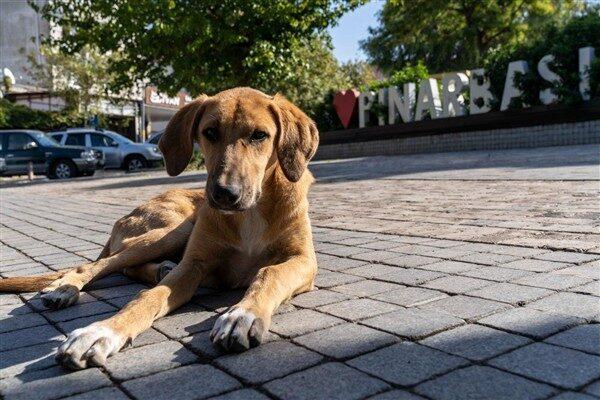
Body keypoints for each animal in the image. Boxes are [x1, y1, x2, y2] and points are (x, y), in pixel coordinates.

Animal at [0, 87, 318, 368]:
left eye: (259, 135)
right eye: (210, 132)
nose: (224, 194)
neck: (250, 213)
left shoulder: (304, 260)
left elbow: (269, 273)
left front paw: (243, 314)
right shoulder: (192, 265)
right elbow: (147, 298)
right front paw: (100, 331)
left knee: (126, 268)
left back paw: (159, 269)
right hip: (171, 231)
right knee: (99, 265)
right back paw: (65, 288)